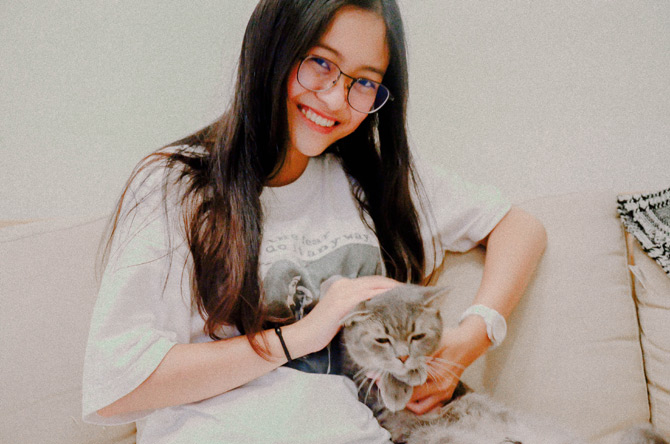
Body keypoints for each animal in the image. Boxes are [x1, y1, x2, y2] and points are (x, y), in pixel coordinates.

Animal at [344, 284, 668, 444]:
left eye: (417, 336)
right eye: (382, 340)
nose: (402, 356)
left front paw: (414, 372)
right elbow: (377, 371)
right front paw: (396, 384)